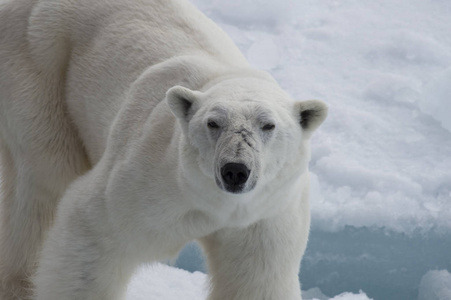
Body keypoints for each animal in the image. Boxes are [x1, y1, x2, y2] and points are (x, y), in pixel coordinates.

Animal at [0, 0, 326, 298]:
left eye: (268, 125)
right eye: (213, 123)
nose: (235, 170)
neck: (214, 206)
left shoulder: (266, 214)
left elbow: (256, 278)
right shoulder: (145, 179)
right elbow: (92, 233)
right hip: (38, 66)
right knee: (46, 180)